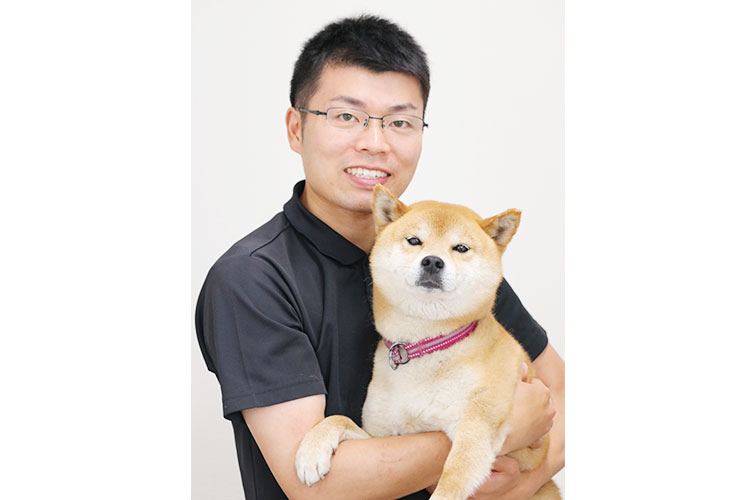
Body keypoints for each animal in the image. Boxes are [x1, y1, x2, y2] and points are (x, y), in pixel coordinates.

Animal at [295, 185, 560, 500]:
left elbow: (453, 476)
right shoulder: (380, 436)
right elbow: (338, 419)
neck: (427, 345)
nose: (433, 261)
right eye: (414, 241)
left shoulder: (476, 426)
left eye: (460, 248)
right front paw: (312, 450)